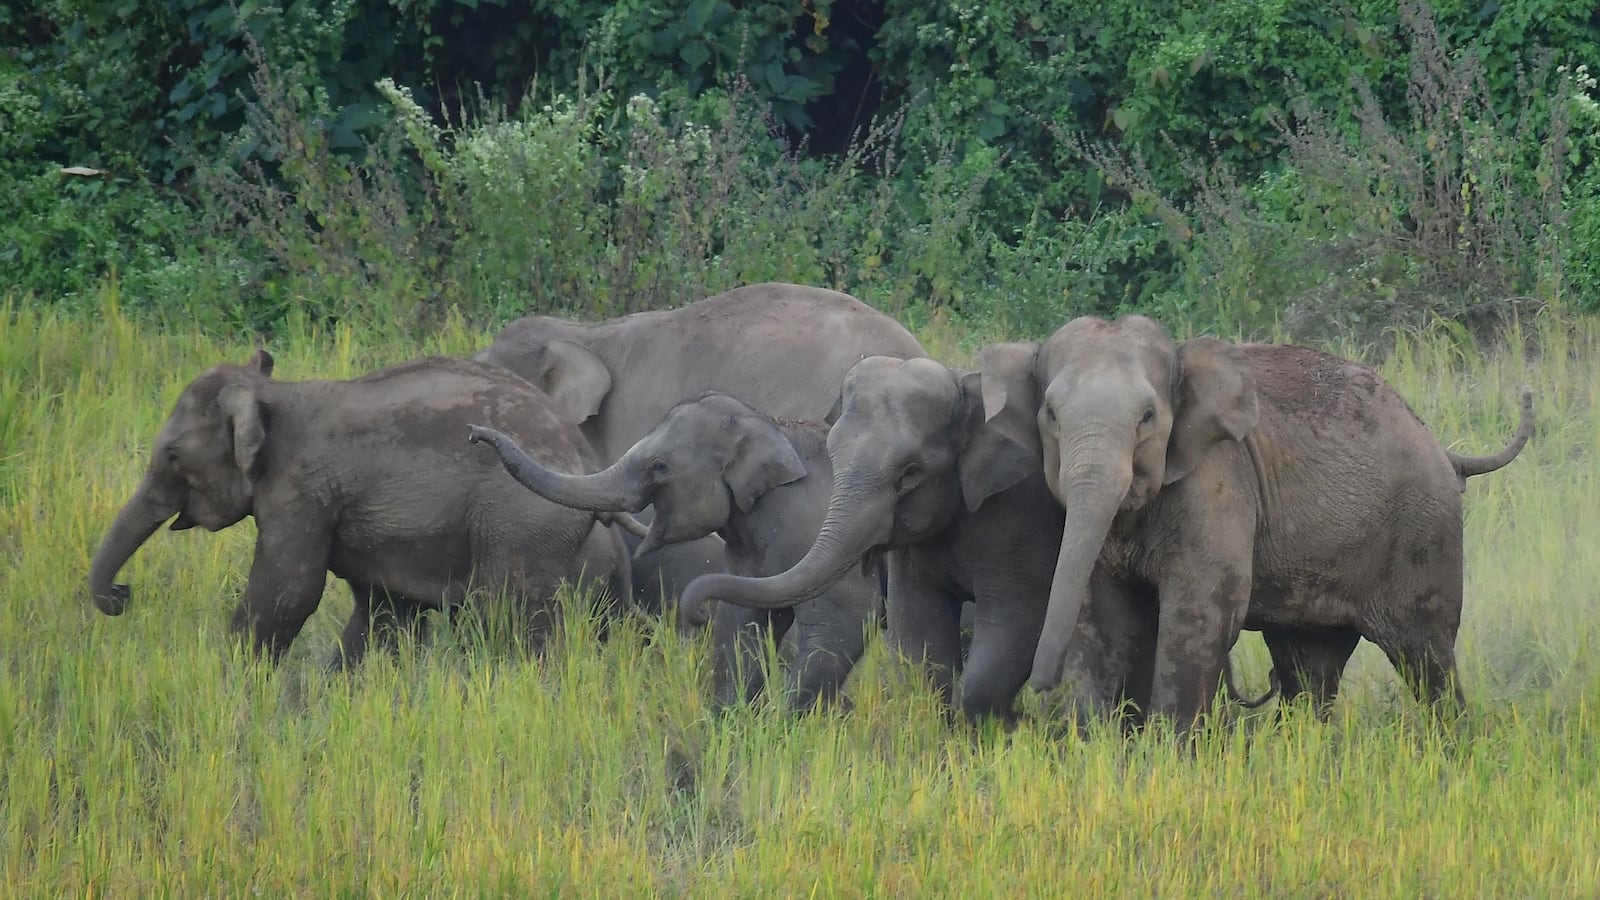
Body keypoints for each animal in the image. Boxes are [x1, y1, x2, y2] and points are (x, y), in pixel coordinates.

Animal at [87, 350, 631, 667]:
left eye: (173, 457)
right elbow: (382, 611)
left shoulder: (300, 491)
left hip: (521, 527)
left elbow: (287, 593)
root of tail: (585, 462)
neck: (272, 394)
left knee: (505, 619)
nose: (121, 594)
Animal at [466, 391, 883, 712]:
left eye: (658, 465)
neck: (772, 426)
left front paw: (778, 726)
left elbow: (838, 627)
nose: (474, 434)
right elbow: (742, 625)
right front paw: (726, 725)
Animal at [677, 354, 1065, 724]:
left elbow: (1014, 621)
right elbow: (920, 641)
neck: (963, 384)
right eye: (832, 453)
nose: (697, 613)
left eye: (911, 473)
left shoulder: (1021, 519)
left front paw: (1010, 725)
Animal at [994, 315, 1534, 735]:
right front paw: (1103, 744)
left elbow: (1203, 607)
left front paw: (1166, 751)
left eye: (1147, 416)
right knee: (1310, 662)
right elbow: (1106, 612)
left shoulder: (1218, 479)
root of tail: (1439, 444)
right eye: (1050, 414)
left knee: (1425, 655)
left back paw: (1452, 747)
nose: (1038, 689)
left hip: (1422, 533)